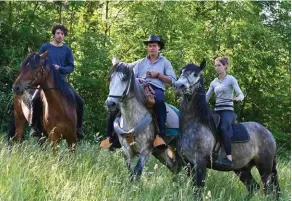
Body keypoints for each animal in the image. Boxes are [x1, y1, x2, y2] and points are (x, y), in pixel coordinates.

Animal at [173, 59, 280, 199]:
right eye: (182, 71)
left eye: (195, 74)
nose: (178, 86)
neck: (194, 124)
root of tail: (268, 133)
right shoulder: (189, 164)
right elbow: (194, 189)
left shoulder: (200, 163)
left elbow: (198, 191)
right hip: (242, 169)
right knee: (253, 187)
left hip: (265, 168)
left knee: (268, 190)